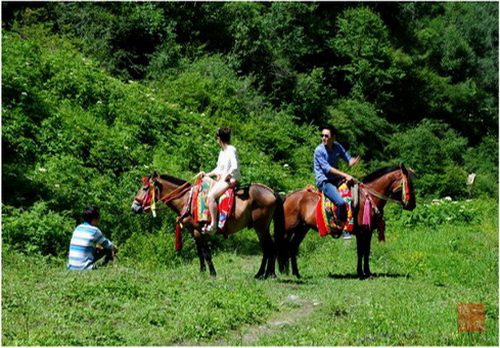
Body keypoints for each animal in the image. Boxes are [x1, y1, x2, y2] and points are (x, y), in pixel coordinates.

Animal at [131, 170, 284, 278]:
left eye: (145, 189)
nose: (134, 207)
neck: (187, 200)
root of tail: (271, 191)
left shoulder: (199, 231)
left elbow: (206, 252)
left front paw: (212, 273)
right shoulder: (194, 231)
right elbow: (200, 252)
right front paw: (202, 271)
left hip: (261, 228)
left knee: (269, 248)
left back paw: (265, 274)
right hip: (262, 228)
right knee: (269, 248)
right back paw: (266, 273)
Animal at [276, 164, 416, 280]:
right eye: (409, 183)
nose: (412, 205)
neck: (368, 198)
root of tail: (289, 196)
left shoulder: (368, 231)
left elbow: (366, 251)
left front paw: (367, 272)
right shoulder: (361, 232)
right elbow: (361, 251)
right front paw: (361, 273)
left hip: (302, 228)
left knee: (292, 247)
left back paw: (297, 274)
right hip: (289, 229)